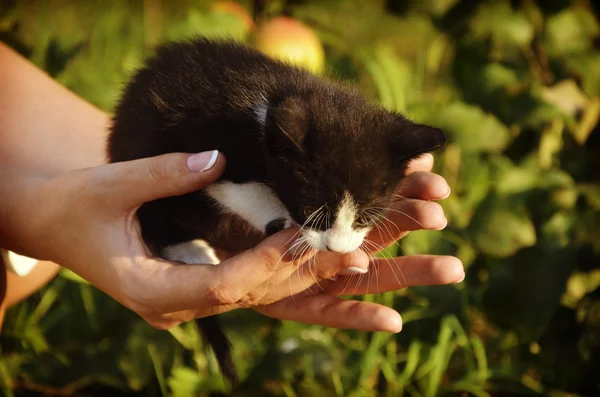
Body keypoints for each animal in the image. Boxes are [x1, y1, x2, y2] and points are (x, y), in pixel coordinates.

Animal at [106, 38, 446, 382]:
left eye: (366, 215)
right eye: (310, 209)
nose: (336, 248)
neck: (271, 104)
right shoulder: (203, 147)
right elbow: (234, 186)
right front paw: (282, 223)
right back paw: (190, 249)